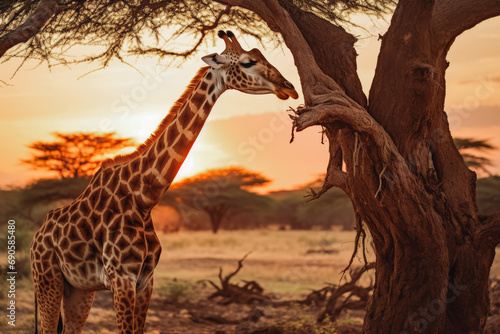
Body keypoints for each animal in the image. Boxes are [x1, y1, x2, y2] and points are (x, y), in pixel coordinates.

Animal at [31, 30, 296, 332]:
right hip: (48, 281)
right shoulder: (122, 278)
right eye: (247, 62)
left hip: (79, 289)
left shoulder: (146, 278)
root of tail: (36, 237)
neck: (144, 197)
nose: (289, 87)